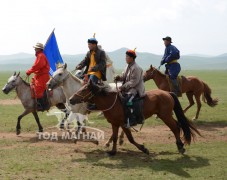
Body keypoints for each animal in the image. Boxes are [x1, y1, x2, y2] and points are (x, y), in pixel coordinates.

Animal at [69, 79, 200, 155]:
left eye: (84, 90)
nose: (71, 99)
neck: (112, 102)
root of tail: (168, 93)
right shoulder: (115, 123)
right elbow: (115, 137)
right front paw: (113, 151)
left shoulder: (123, 123)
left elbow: (130, 138)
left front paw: (143, 149)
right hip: (165, 115)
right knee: (177, 126)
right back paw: (180, 145)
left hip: (165, 116)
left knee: (175, 127)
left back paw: (180, 147)